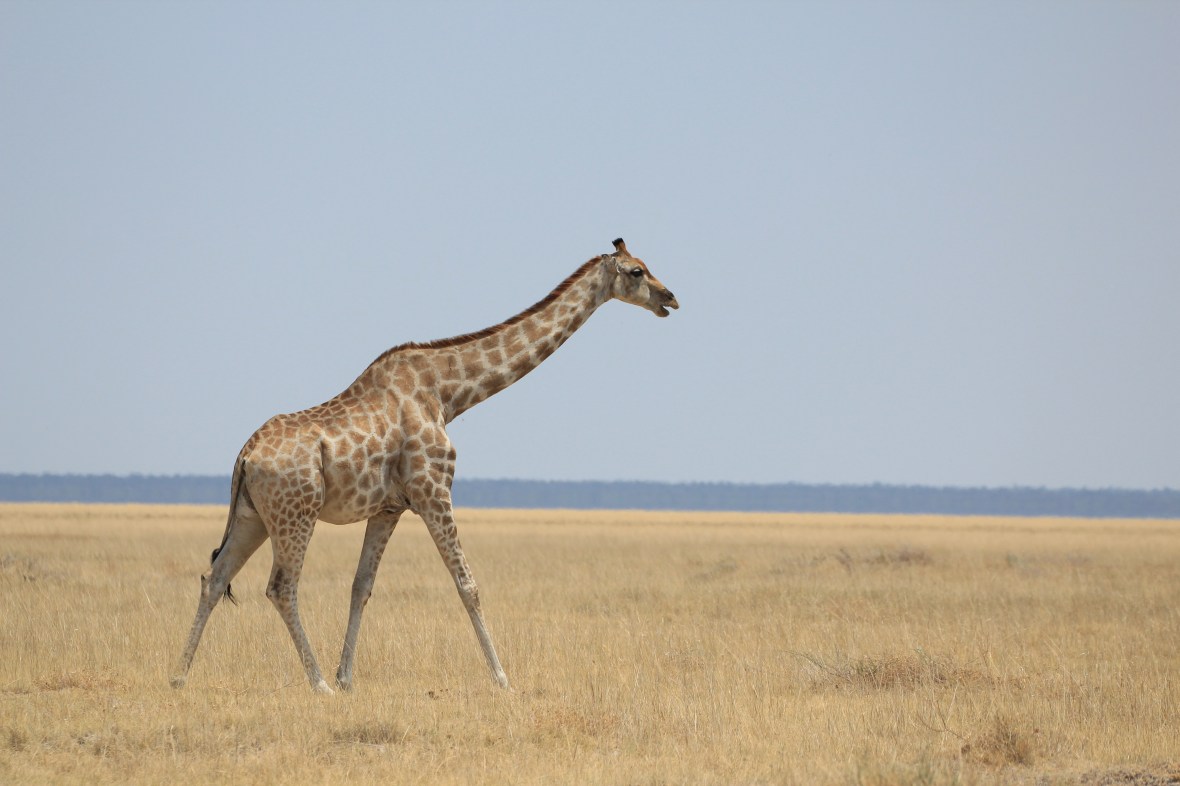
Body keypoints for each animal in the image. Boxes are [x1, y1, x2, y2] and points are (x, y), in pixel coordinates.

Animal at [171, 238, 678, 693]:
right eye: (636, 271)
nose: (670, 299)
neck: (449, 393)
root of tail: (244, 455)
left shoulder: (388, 507)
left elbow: (361, 586)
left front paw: (348, 677)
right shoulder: (434, 489)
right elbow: (467, 584)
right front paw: (502, 679)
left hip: (253, 517)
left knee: (214, 578)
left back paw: (179, 677)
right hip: (296, 513)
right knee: (280, 587)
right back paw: (317, 684)